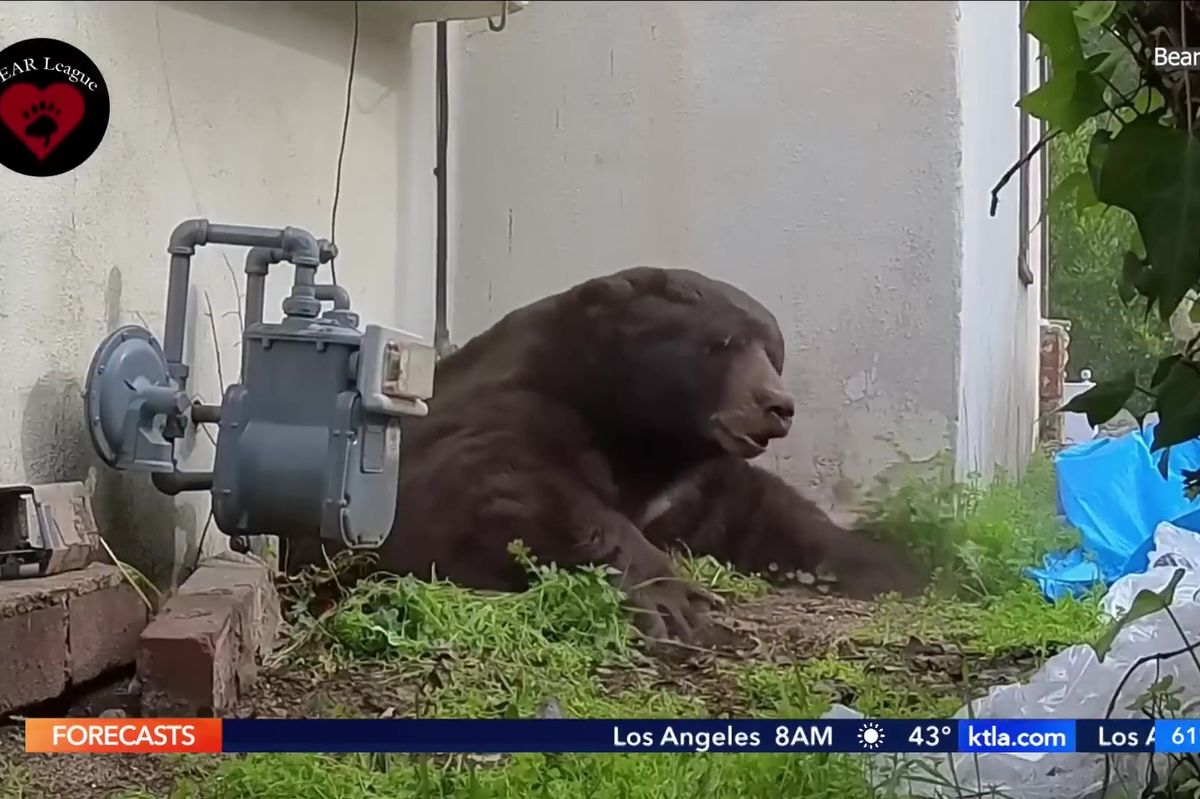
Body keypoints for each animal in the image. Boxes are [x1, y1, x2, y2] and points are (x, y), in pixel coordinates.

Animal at [290, 266, 916, 642]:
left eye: (773, 350)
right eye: (722, 343)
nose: (776, 406)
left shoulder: (689, 485)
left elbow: (769, 514)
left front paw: (895, 565)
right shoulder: (507, 410)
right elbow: (504, 486)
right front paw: (675, 599)